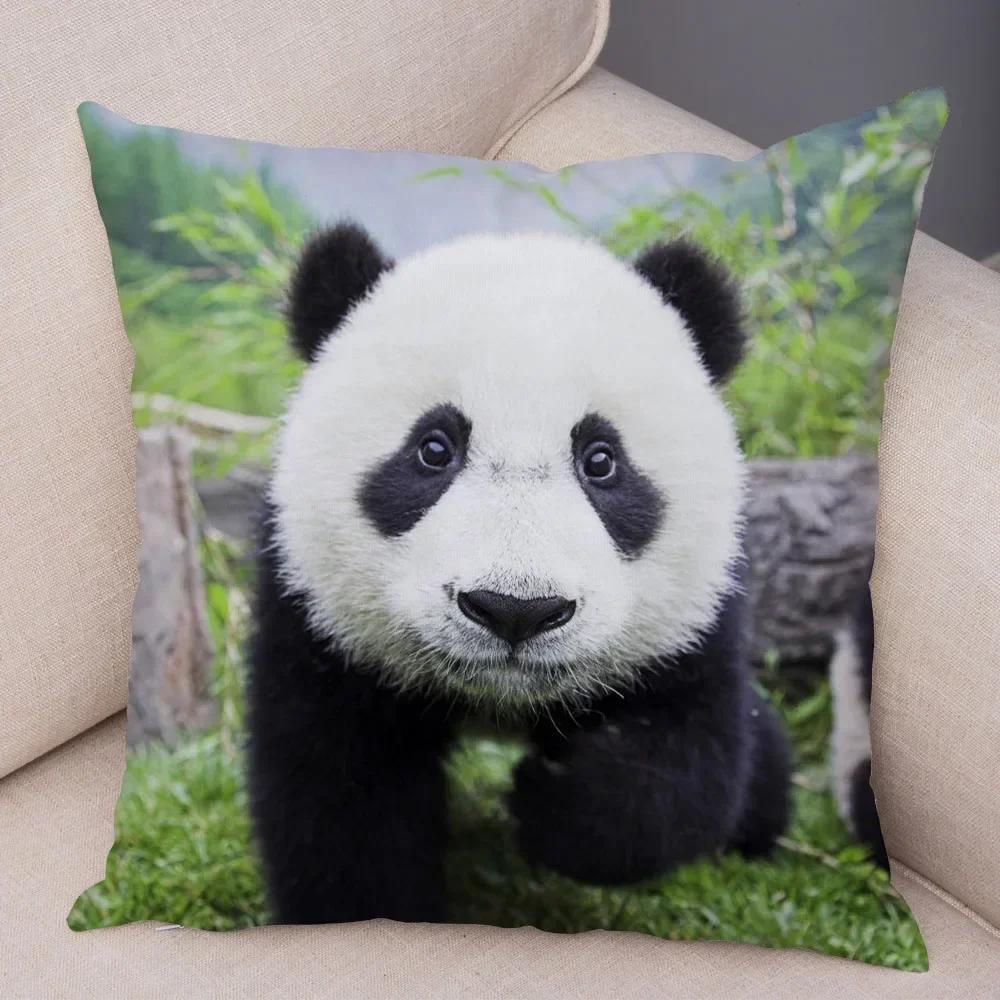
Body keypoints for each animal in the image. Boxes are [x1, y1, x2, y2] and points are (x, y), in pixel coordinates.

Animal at [247, 223, 792, 925]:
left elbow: (683, 763)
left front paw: (552, 799)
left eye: (601, 460)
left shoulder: (697, 616)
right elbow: (339, 792)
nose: (514, 609)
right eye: (434, 449)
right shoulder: (315, 611)